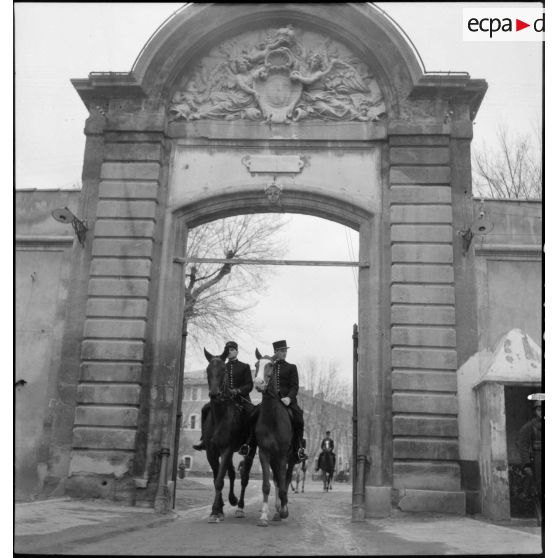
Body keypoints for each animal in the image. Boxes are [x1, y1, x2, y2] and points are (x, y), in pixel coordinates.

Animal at [202, 350, 258, 524]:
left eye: (224, 370)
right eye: (207, 370)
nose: (214, 394)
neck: (220, 416)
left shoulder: (226, 449)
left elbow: (220, 480)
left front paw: (215, 511)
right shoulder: (212, 452)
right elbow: (217, 478)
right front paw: (219, 509)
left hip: (250, 451)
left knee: (244, 477)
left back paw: (240, 507)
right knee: (232, 473)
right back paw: (232, 499)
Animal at [254, 352, 298, 528]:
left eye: (271, 365)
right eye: (256, 364)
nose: (258, 383)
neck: (272, 418)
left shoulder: (282, 456)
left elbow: (284, 484)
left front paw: (284, 510)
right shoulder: (264, 453)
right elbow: (266, 485)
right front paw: (263, 516)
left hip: (290, 459)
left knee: (285, 480)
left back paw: (282, 509)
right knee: (278, 481)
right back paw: (277, 509)